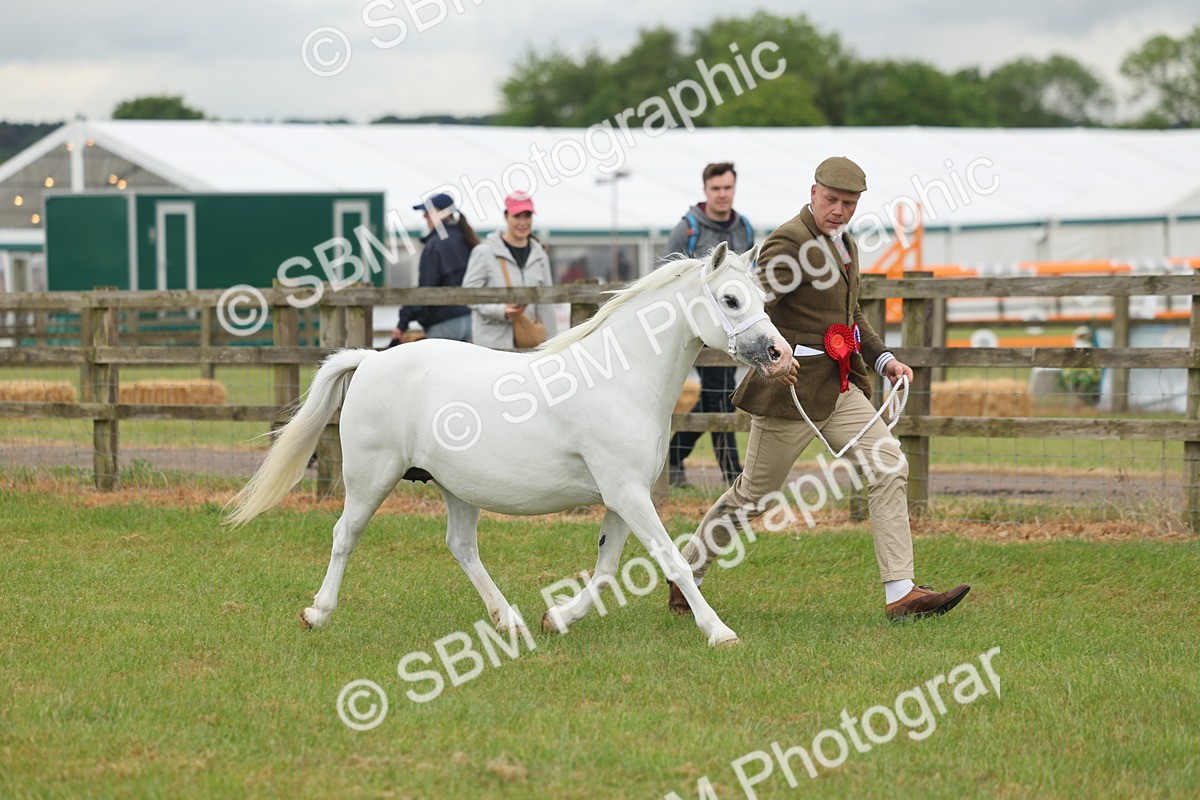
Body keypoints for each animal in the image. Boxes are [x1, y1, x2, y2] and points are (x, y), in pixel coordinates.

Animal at [225, 242, 793, 646]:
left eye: (763, 299)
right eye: (730, 299)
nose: (779, 352)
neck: (620, 378)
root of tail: (371, 359)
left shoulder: (621, 496)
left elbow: (607, 569)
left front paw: (556, 618)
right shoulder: (628, 494)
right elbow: (670, 558)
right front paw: (719, 632)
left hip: (455, 487)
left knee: (461, 546)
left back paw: (510, 621)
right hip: (370, 479)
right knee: (345, 535)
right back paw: (316, 613)